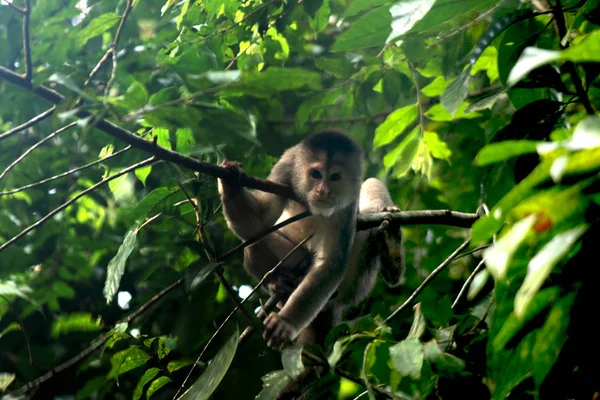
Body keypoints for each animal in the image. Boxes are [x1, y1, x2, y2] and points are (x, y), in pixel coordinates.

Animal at [218, 130, 406, 348]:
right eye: (316, 175)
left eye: (335, 177)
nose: (322, 191)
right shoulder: (286, 166)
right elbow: (257, 223)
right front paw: (231, 183)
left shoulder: (347, 203)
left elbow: (332, 263)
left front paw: (285, 323)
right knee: (253, 242)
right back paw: (277, 285)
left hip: (355, 283)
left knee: (371, 186)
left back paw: (390, 246)